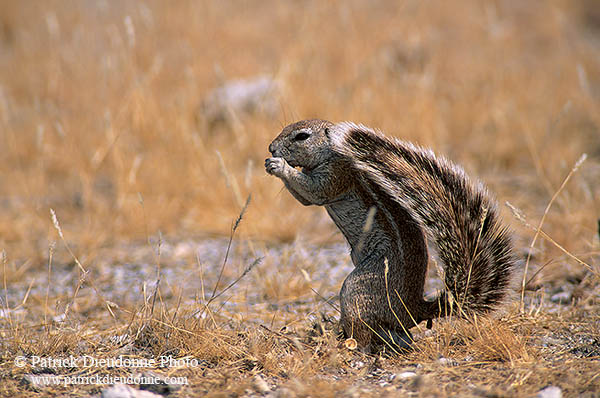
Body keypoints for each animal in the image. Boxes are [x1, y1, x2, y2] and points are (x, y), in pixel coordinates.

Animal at [266, 118, 516, 352]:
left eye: (302, 136)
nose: (271, 148)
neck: (331, 152)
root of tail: (415, 309)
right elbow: (304, 198)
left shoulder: (338, 174)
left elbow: (314, 192)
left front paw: (280, 166)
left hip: (360, 288)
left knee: (364, 335)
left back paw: (345, 345)